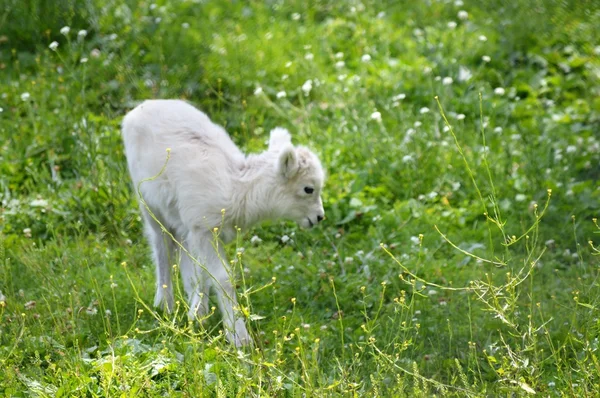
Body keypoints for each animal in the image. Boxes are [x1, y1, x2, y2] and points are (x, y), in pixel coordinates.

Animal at [120, 99, 324, 346]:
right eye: (308, 189)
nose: (319, 217)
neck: (237, 188)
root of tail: (139, 108)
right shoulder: (203, 230)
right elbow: (223, 278)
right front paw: (239, 338)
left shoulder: (201, 229)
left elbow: (202, 271)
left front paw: (198, 317)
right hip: (148, 202)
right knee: (161, 245)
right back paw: (165, 305)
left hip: (180, 217)